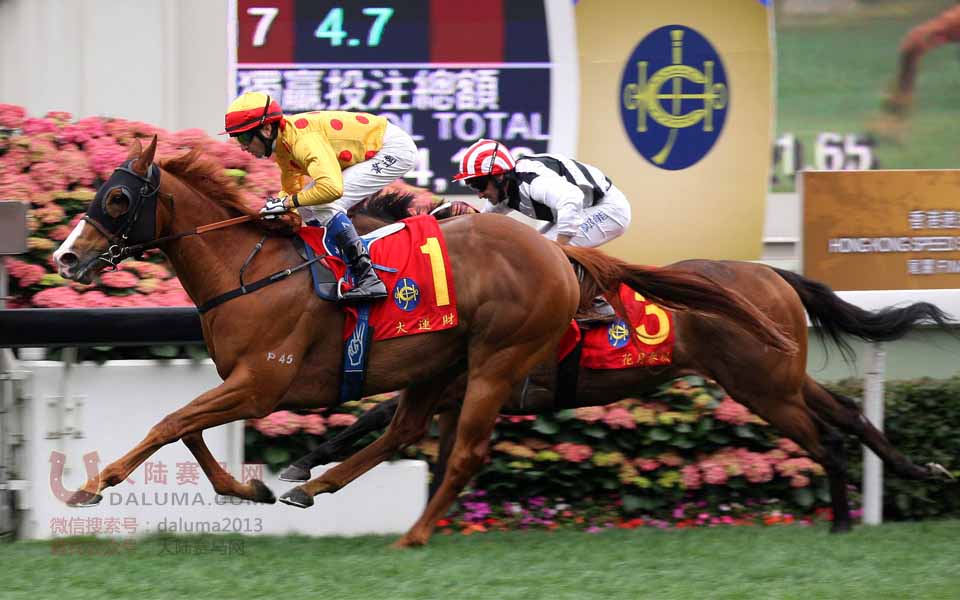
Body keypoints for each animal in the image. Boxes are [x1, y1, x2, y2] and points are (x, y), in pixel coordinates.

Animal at [51, 137, 795, 547]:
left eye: (118, 199)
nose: (65, 258)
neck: (252, 271)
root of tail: (559, 258)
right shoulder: (243, 382)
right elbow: (189, 434)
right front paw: (250, 487)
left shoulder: (263, 383)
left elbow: (169, 423)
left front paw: (92, 487)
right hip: (440, 362)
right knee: (404, 430)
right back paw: (313, 486)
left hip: (497, 359)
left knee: (457, 446)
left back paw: (398, 525)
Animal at [277, 191, 955, 533]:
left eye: (338, 240)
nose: (329, 280)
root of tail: (772, 274)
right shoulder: (459, 386)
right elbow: (388, 425)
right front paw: (307, 466)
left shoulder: (474, 379)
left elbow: (383, 419)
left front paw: (303, 469)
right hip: (781, 376)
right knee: (847, 413)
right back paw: (913, 474)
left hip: (763, 387)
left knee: (826, 436)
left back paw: (842, 519)